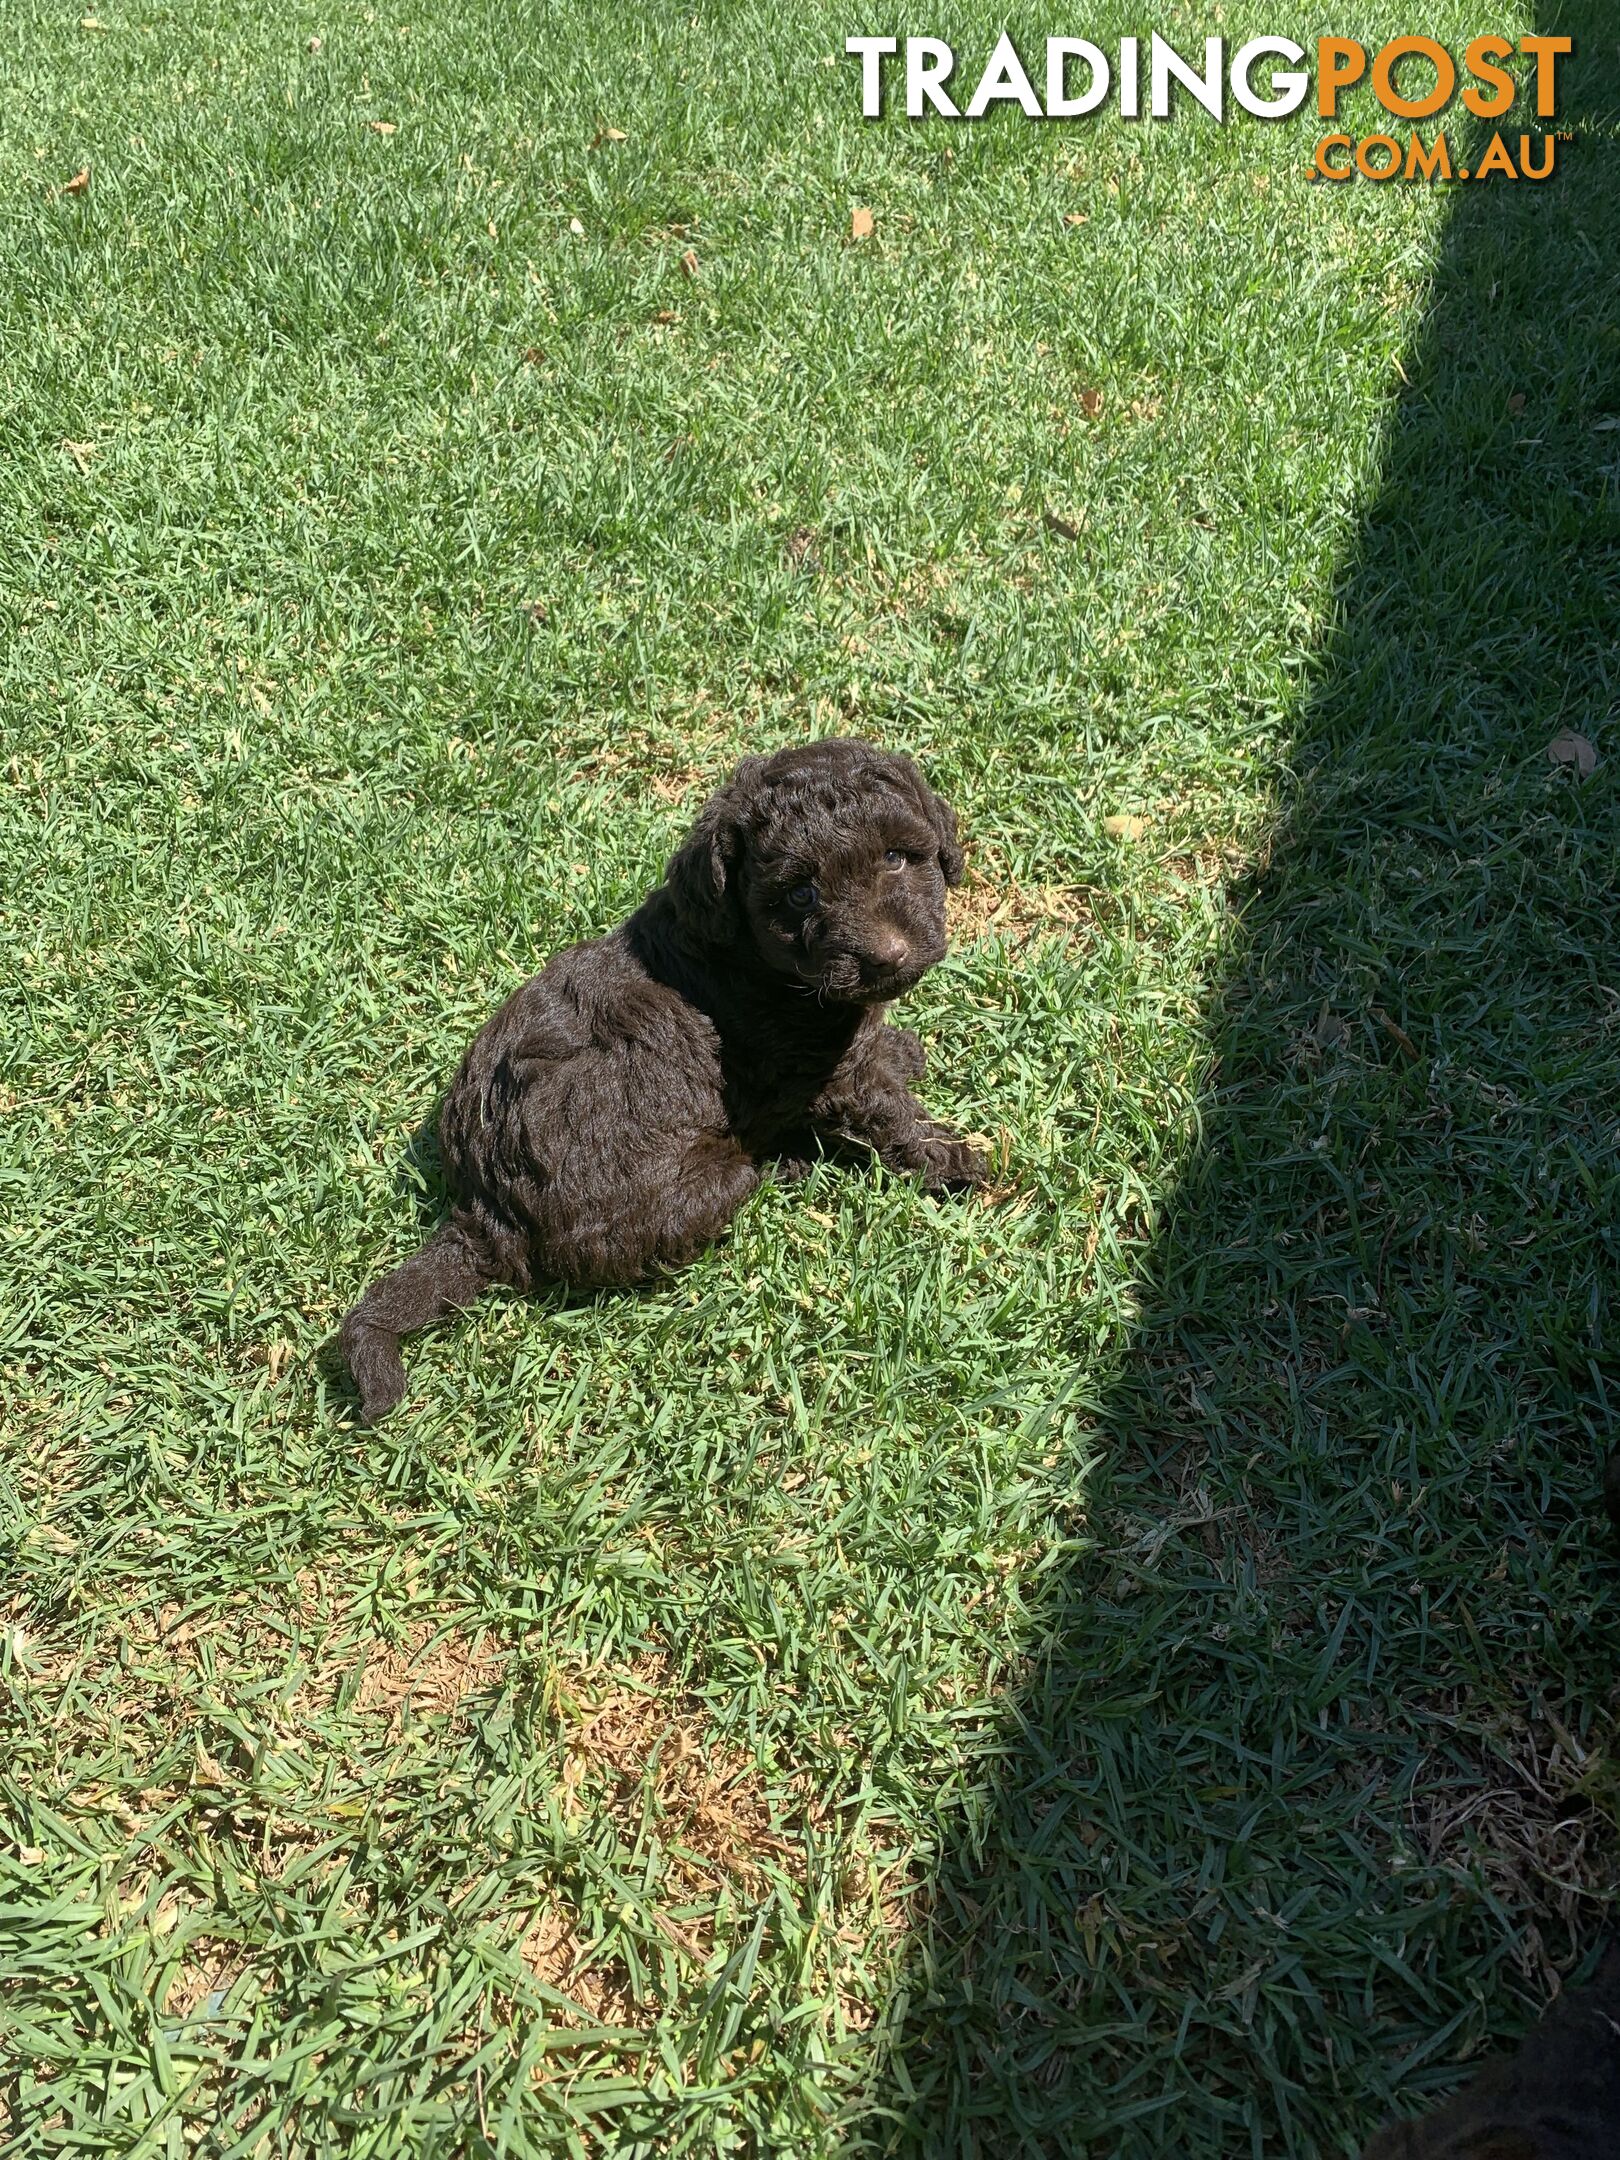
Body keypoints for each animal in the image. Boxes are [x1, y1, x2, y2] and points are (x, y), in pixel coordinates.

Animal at [336, 734, 984, 1425]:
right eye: (801, 895)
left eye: (895, 856)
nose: (886, 957)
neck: (753, 960)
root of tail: (487, 1216)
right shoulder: (823, 1073)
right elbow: (891, 1114)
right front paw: (956, 1163)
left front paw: (899, 1048)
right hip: (689, 1188)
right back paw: (787, 1164)